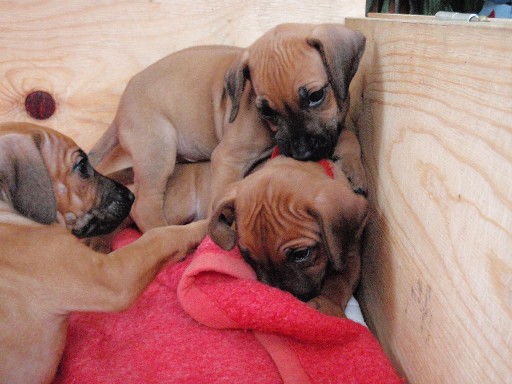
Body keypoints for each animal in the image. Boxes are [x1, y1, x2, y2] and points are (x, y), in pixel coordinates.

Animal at [208, 153, 368, 318]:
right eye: (247, 257)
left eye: (301, 254)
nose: (288, 299)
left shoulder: (348, 253)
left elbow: (339, 280)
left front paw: (327, 306)